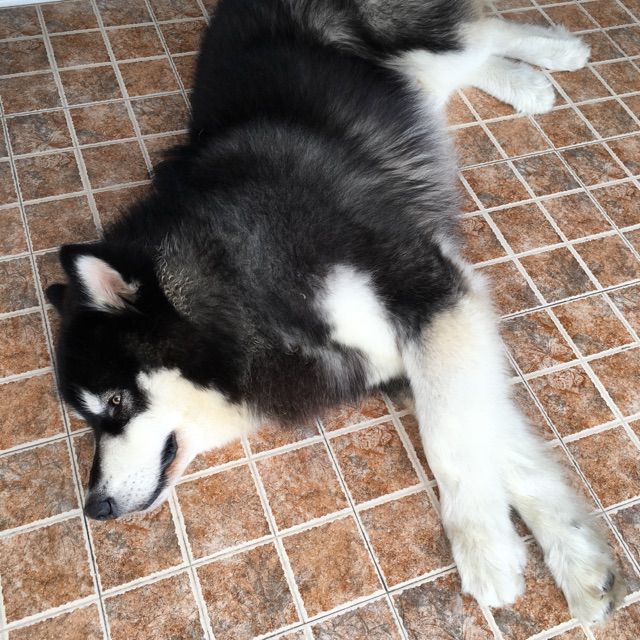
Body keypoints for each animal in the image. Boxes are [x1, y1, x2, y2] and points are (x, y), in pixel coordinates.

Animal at [46, 0, 624, 624]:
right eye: (87, 418)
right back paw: (525, 83)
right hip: (414, 75)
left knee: (480, 30)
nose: (95, 507)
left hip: (400, 32)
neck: (240, 285)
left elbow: (450, 435)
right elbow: (493, 439)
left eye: (115, 403)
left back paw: (556, 51)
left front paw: (484, 548)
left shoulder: (430, 293)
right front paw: (579, 563)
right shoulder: (399, 355)